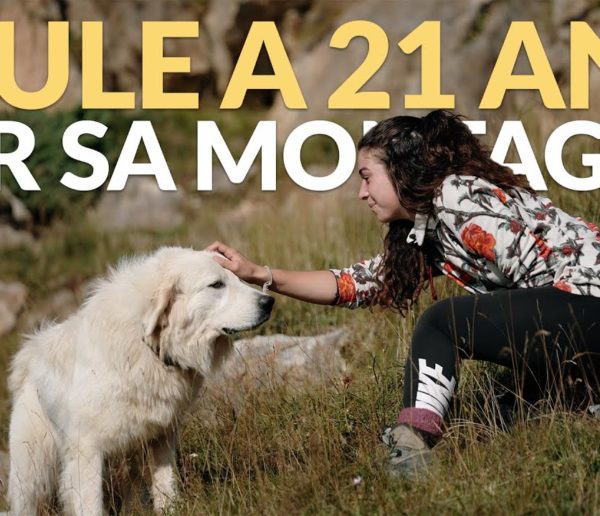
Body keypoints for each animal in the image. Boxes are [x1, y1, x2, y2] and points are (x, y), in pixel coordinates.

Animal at [6, 248, 274, 512]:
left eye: (238, 277)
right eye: (216, 284)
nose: (269, 302)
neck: (145, 344)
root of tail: (31, 351)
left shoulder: (162, 438)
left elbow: (166, 491)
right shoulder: (86, 451)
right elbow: (90, 504)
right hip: (31, 472)